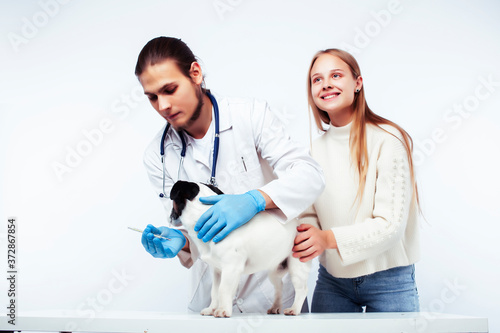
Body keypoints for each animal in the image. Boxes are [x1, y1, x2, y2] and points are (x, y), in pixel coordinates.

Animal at [170, 180, 310, 318]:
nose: (170, 218)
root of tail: (300, 225)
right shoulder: (217, 271)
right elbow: (215, 292)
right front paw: (212, 309)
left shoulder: (231, 268)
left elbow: (223, 290)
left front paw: (223, 310)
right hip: (274, 271)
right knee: (279, 286)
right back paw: (275, 307)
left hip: (297, 266)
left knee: (302, 289)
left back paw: (294, 309)